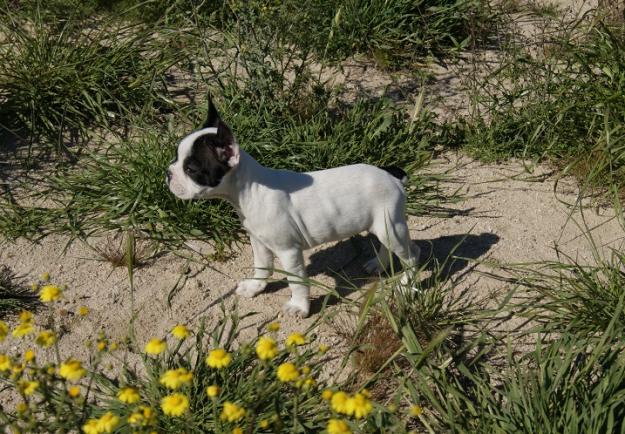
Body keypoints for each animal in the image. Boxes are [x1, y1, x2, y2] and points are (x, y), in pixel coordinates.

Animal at [167, 98, 420, 318]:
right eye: (175, 158)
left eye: (191, 169)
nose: (168, 173)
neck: (251, 191)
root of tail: (390, 173)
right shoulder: (259, 242)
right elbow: (262, 267)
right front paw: (255, 287)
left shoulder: (289, 251)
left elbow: (296, 282)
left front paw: (299, 307)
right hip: (381, 225)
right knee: (387, 246)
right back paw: (379, 265)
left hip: (391, 227)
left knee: (411, 256)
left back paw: (407, 285)